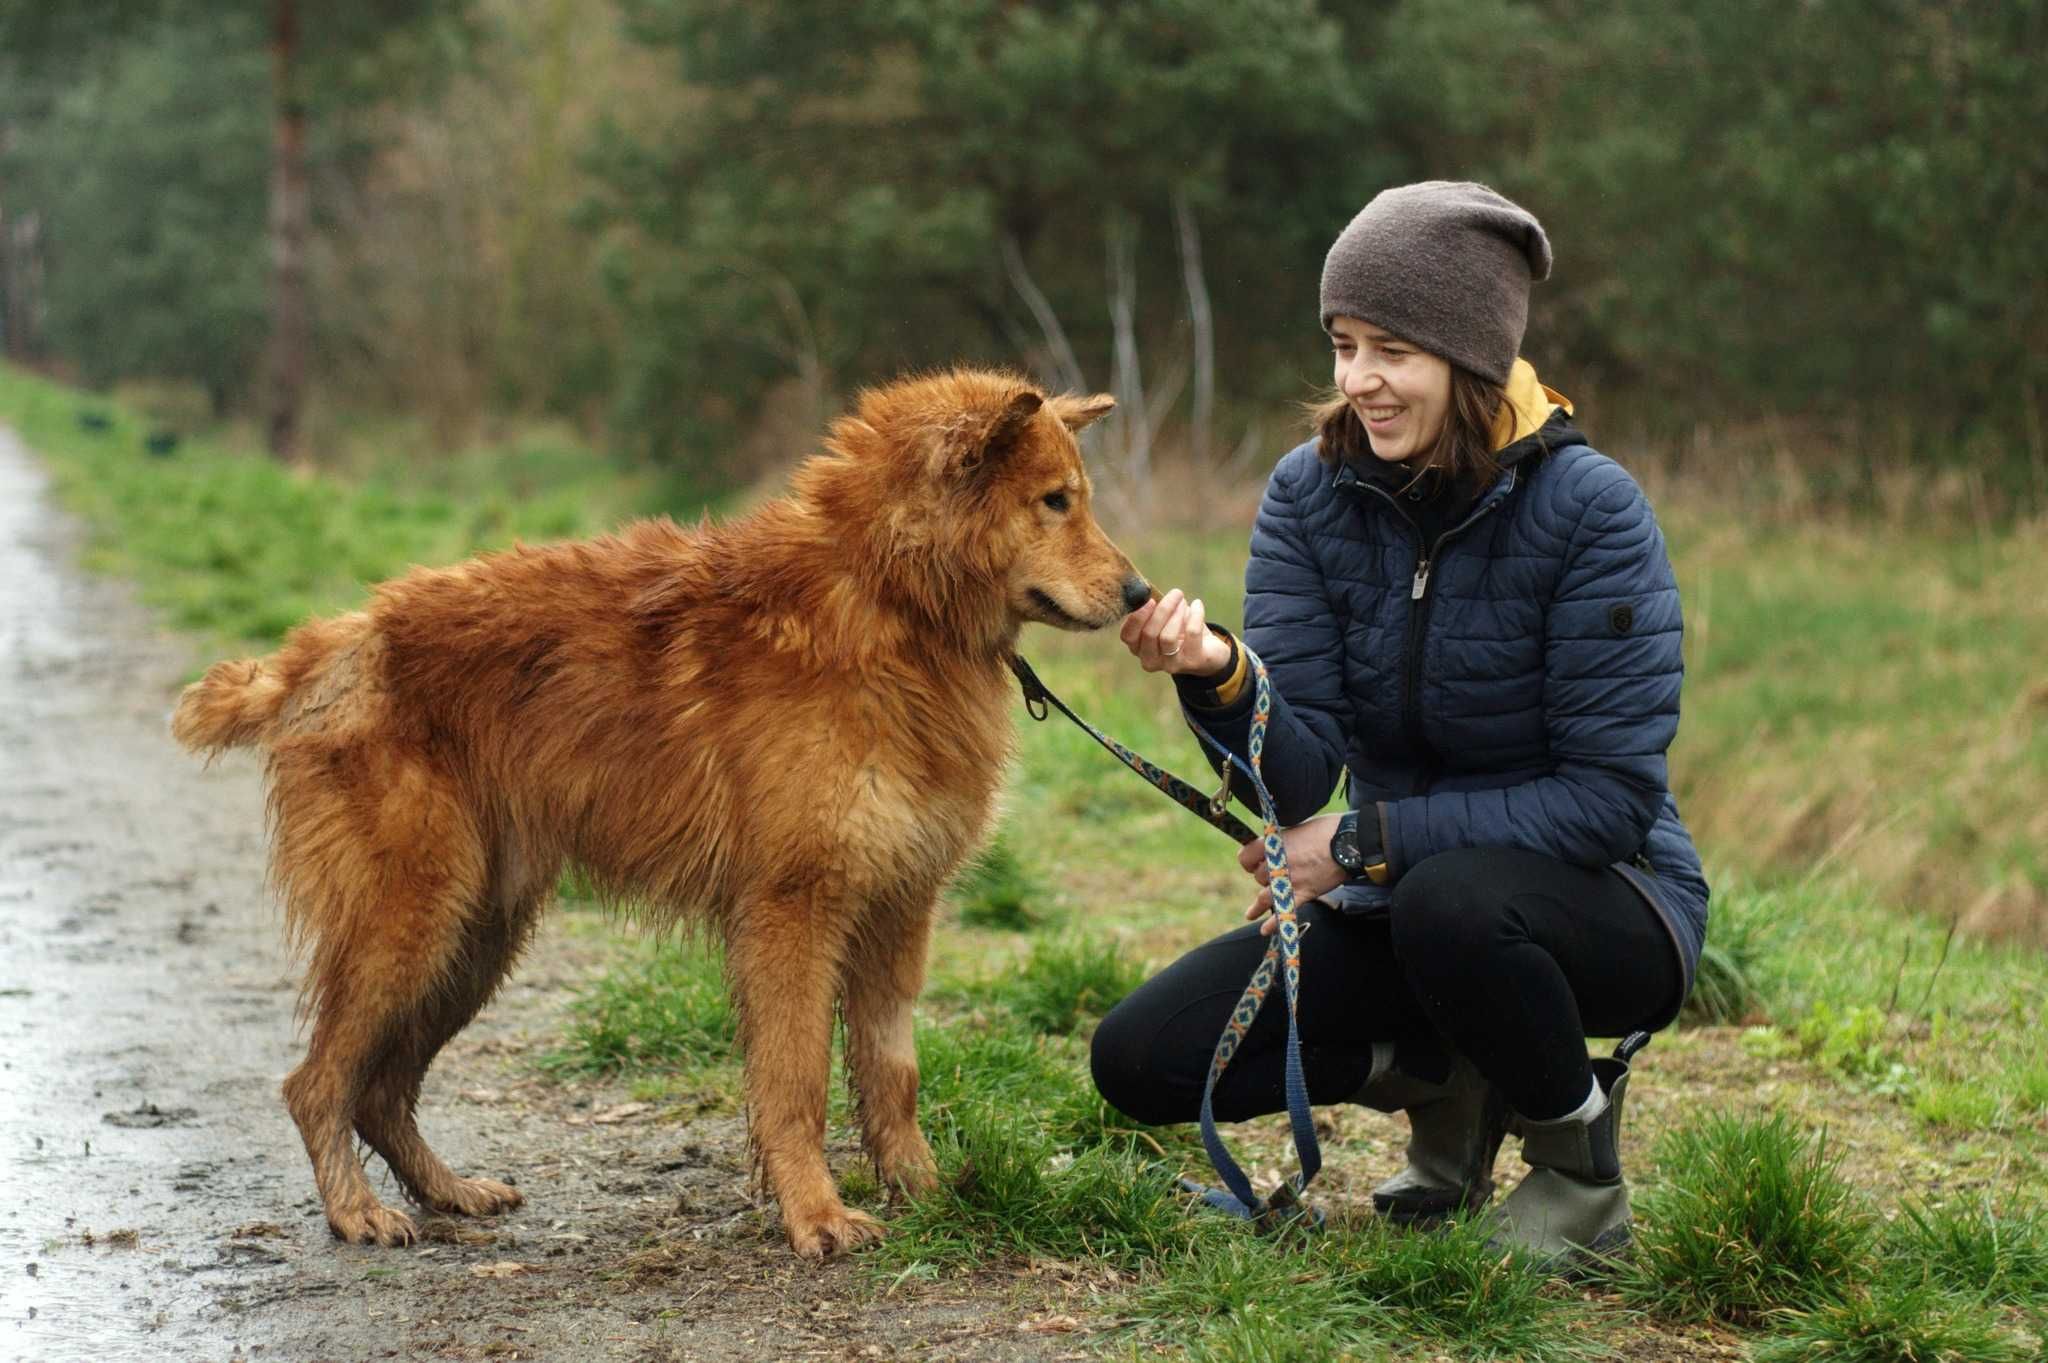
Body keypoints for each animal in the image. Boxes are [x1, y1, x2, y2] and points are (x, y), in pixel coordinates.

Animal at [176, 368, 1155, 1252]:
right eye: (1056, 502)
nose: (1141, 594)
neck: (885, 602)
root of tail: (327, 648)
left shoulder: (896, 911)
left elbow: (892, 1071)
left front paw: (923, 1189)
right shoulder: (793, 914)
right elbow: (796, 1081)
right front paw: (817, 1216)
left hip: (473, 940)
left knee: (380, 1091)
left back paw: (448, 1191)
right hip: (410, 927)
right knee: (317, 1084)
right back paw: (356, 1212)